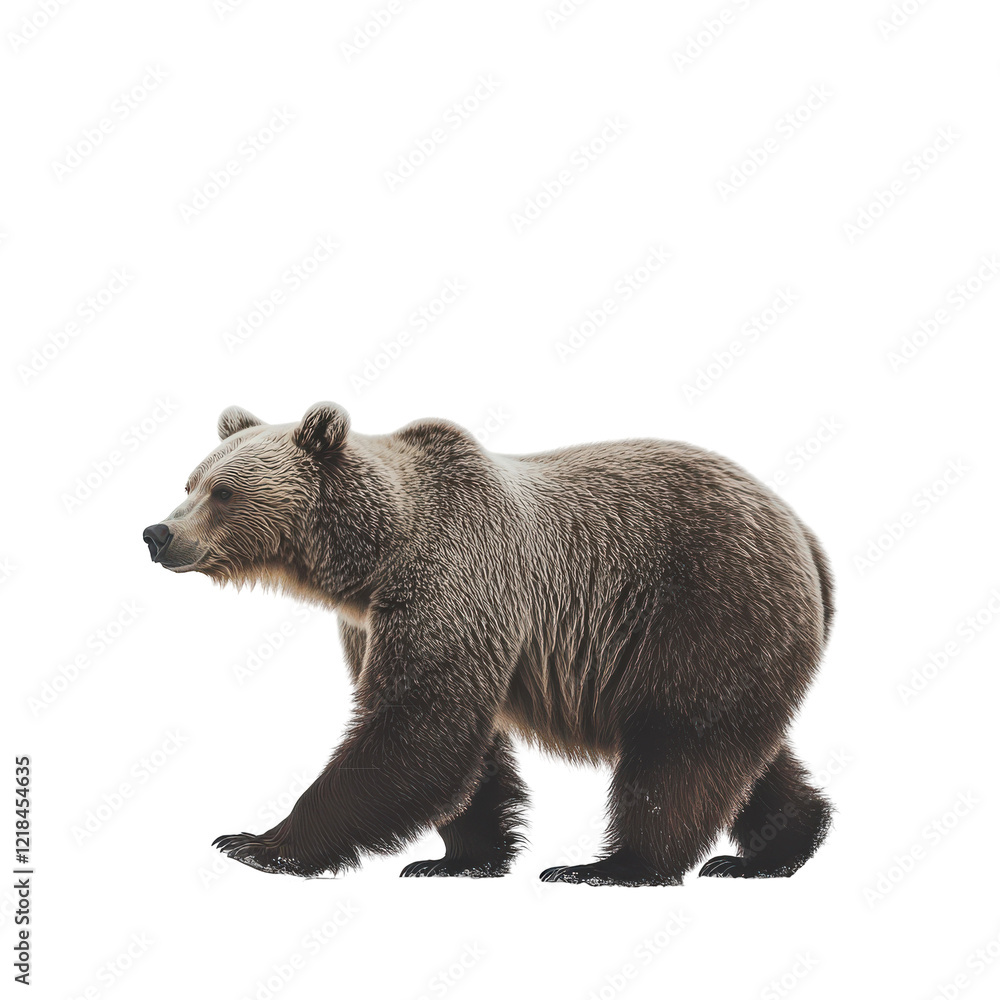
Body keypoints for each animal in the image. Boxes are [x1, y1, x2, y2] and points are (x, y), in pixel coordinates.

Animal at [143, 402, 833, 886]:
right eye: (189, 482)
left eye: (223, 491)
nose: (157, 533)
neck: (373, 560)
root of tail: (804, 531)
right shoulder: (371, 624)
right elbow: (463, 746)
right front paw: (458, 858)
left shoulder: (456, 579)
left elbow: (417, 726)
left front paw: (257, 843)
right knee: (743, 750)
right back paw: (776, 849)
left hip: (706, 603)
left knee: (680, 745)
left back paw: (612, 867)